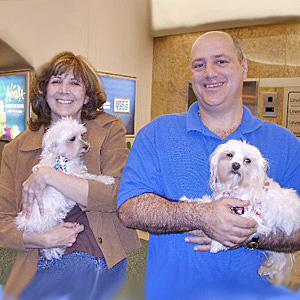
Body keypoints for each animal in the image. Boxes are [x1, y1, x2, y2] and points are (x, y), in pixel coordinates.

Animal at [14, 117, 114, 260]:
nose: (86, 146)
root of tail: (24, 224)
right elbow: (92, 177)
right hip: (48, 229)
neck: (62, 157)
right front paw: (106, 179)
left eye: (81, 135)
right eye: (72, 138)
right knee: (50, 250)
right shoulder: (76, 175)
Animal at [180, 141, 300, 286]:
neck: (234, 187)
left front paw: (216, 244)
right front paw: (188, 201)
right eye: (229, 155)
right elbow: (205, 203)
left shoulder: (253, 219)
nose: (236, 165)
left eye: (247, 160)